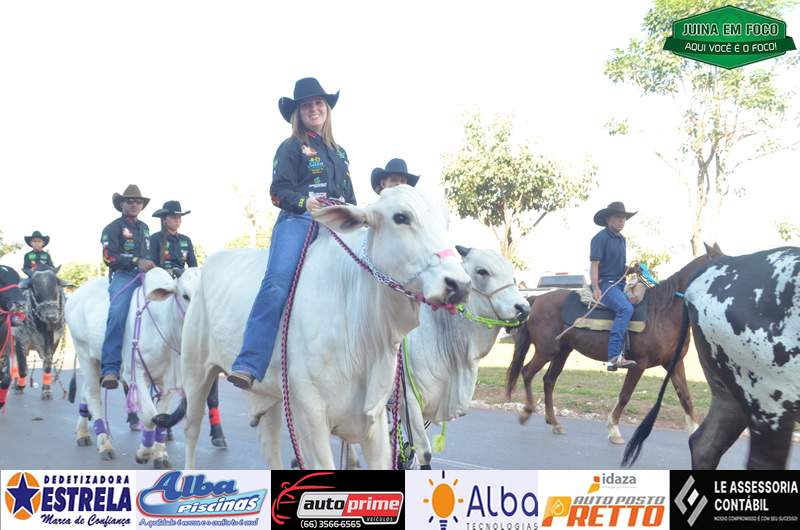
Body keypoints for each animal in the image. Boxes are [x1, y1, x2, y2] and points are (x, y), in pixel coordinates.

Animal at [180, 185, 471, 469]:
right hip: (196, 372)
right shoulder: (311, 416)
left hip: (268, 394)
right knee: (191, 429)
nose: (459, 285)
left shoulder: (374, 417)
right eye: (401, 217)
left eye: (445, 222)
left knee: (269, 446)